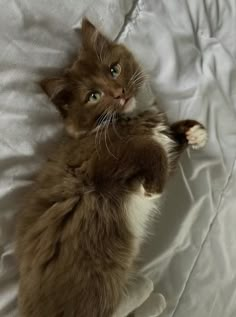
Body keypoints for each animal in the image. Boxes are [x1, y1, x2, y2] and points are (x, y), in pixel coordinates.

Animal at [15, 19, 206, 316]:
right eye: (93, 96)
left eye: (114, 69)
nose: (120, 94)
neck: (132, 118)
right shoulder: (94, 162)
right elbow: (149, 149)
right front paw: (154, 186)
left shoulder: (158, 145)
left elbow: (167, 147)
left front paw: (194, 132)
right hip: (97, 275)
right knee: (110, 307)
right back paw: (147, 292)